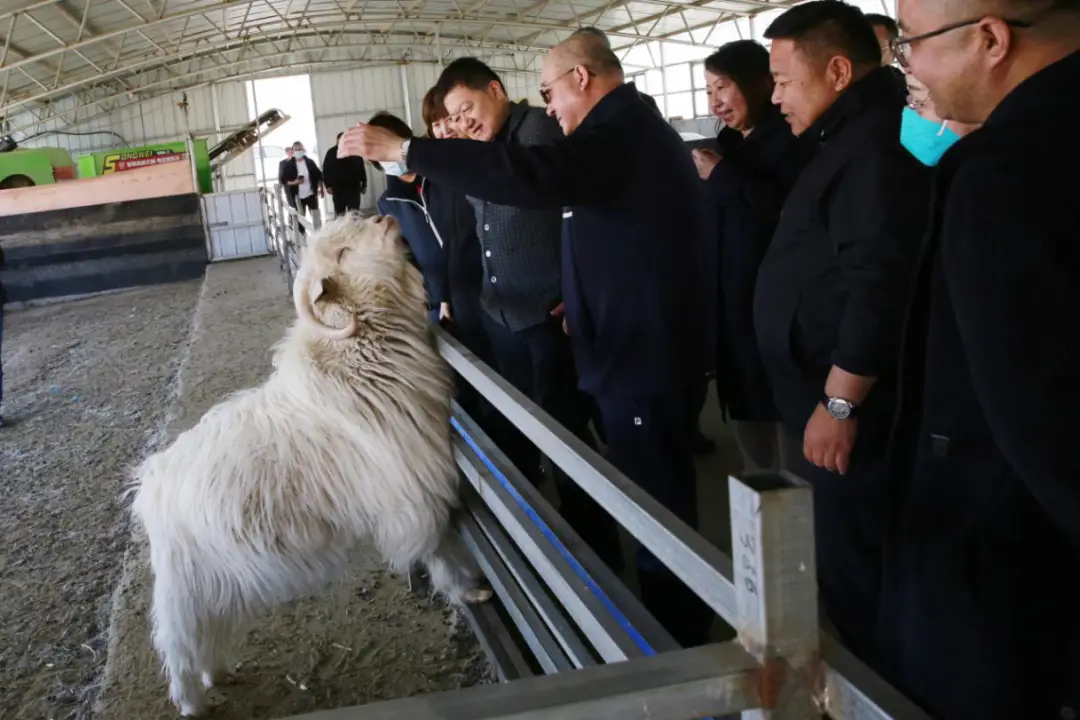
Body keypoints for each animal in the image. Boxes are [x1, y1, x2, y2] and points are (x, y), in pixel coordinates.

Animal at [127, 212, 494, 716]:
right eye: (342, 254)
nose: (386, 217)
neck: (357, 354)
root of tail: (151, 480)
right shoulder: (411, 495)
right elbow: (440, 550)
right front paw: (468, 590)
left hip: (222, 581)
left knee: (213, 631)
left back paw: (217, 673)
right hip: (184, 588)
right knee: (179, 645)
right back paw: (190, 702)